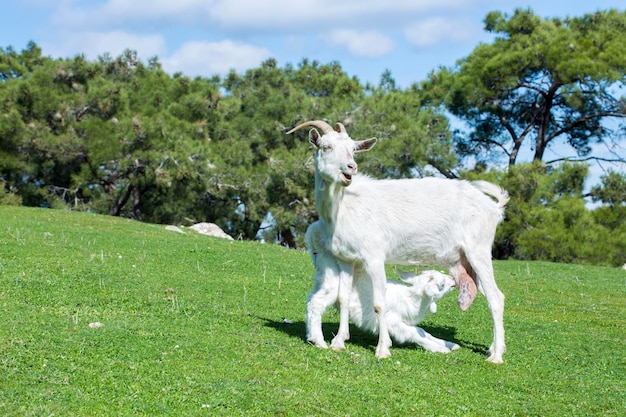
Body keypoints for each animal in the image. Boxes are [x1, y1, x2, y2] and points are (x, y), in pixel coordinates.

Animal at [304, 219, 458, 352]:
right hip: (332, 276)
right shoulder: (393, 321)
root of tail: (313, 231)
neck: (411, 299)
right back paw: (320, 341)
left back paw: (311, 337)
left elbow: (422, 331)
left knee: (311, 300)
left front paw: (451, 344)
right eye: (441, 284)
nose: (453, 279)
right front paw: (440, 348)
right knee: (317, 303)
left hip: (322, 276)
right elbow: (413, 333)